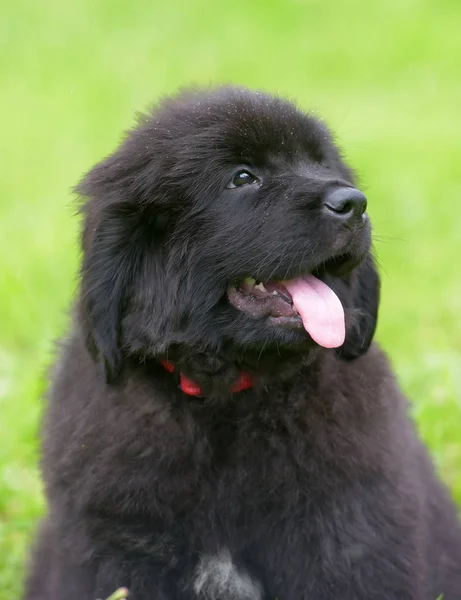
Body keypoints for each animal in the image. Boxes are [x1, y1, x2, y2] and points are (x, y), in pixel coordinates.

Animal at [24, 86, 460, 596]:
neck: (225, 397)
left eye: (322, 164)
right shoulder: (115, 549)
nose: (354, 203)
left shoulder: (350, 541)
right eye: (242, 178)